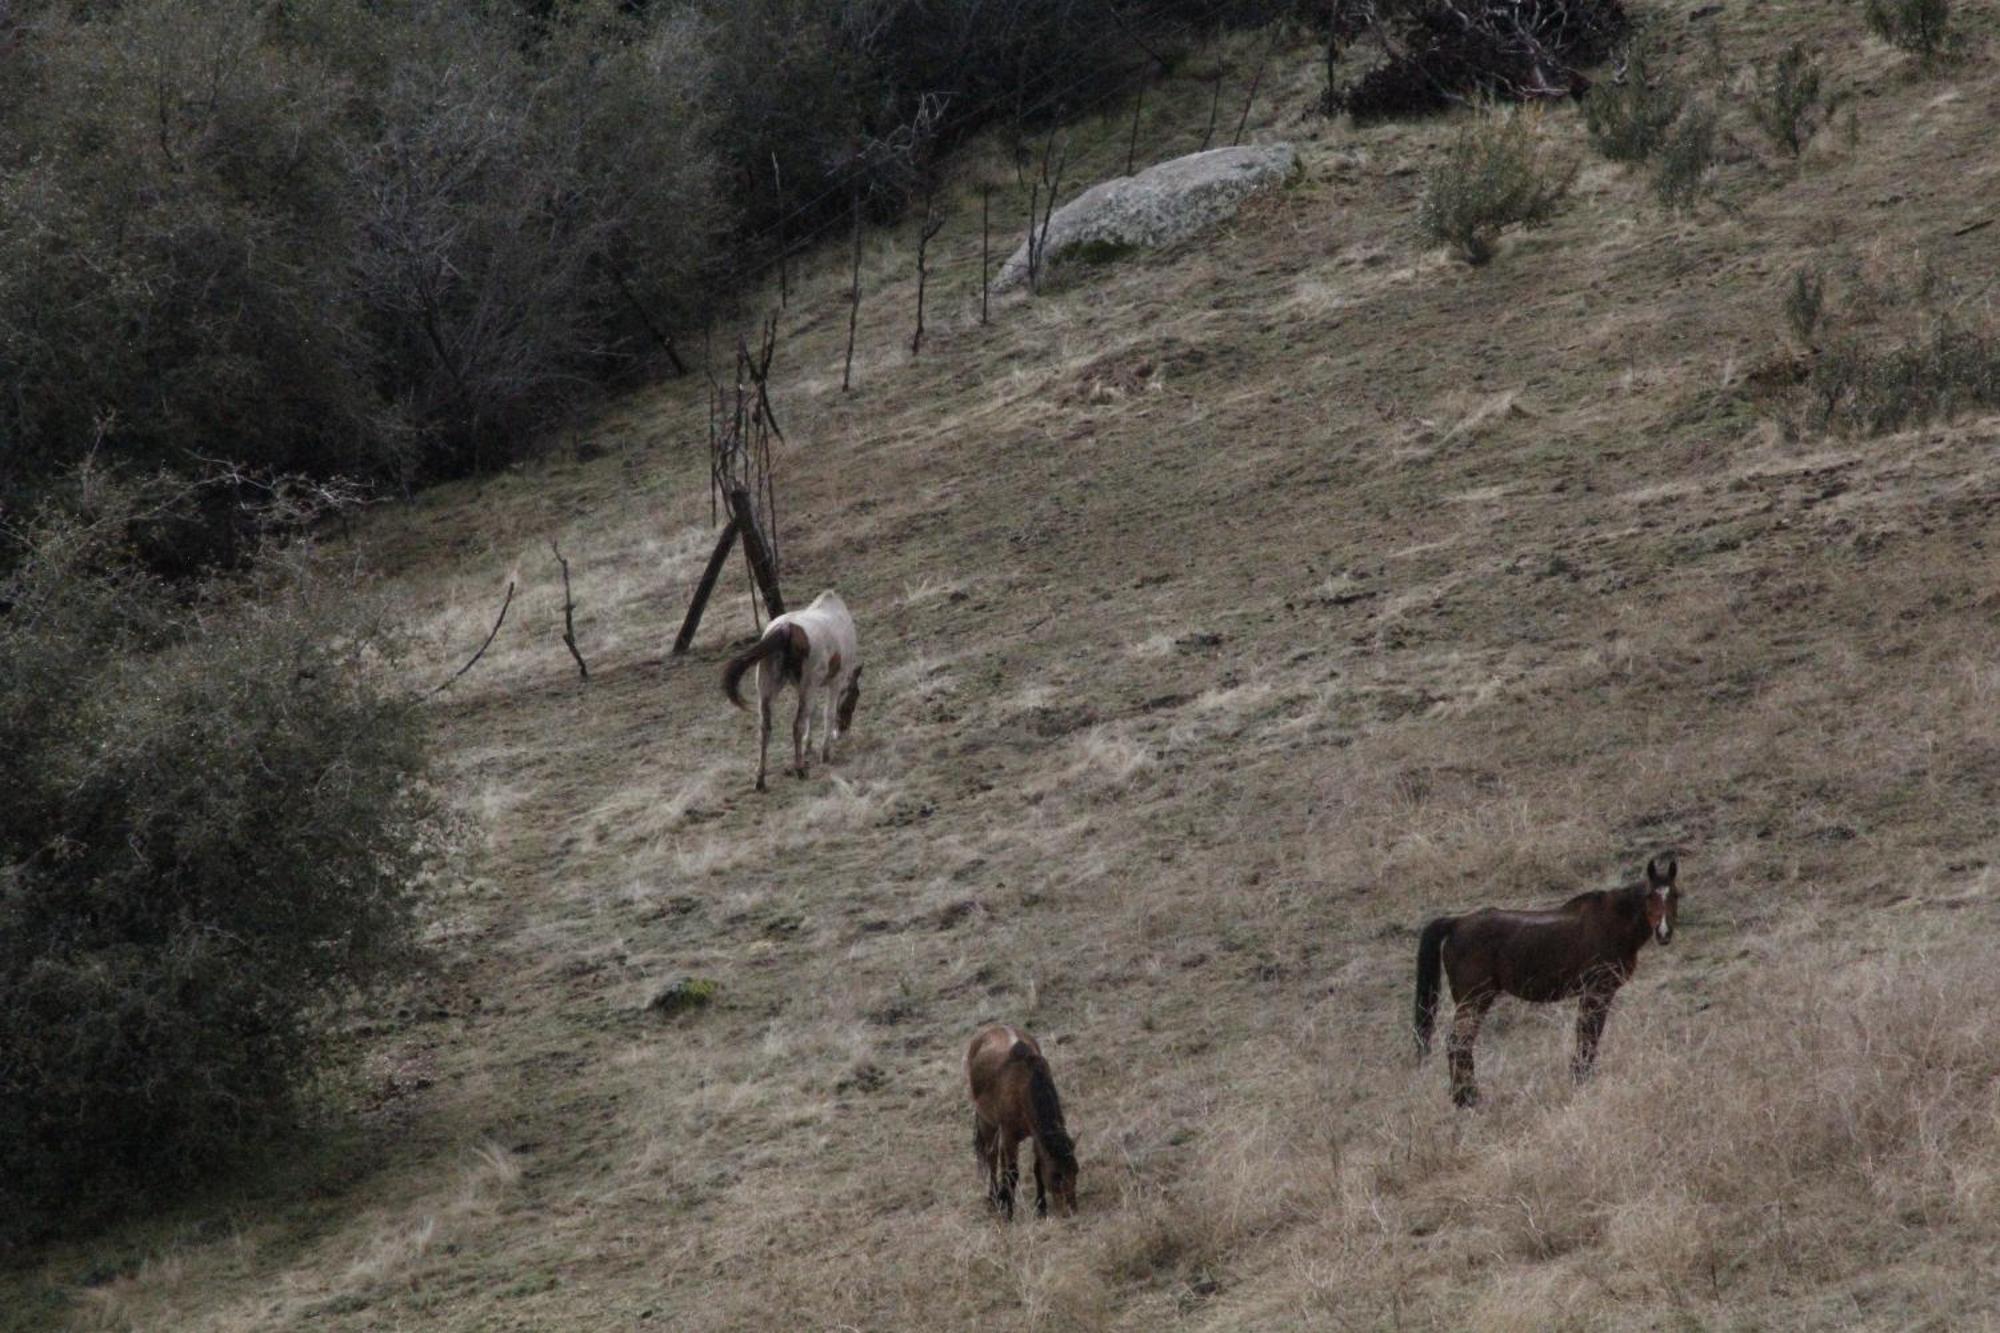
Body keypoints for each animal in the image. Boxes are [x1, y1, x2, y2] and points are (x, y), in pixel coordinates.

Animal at [728, 588, 868, 784]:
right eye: (853, 701)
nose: (843, 730)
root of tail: (785, 629)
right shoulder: (834, 681)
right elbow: (827, 713)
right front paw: (825, 753)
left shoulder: (809, 688)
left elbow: (812, 712)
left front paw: (808, 746)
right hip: (807, 686)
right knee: (796, 725)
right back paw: (799, 769)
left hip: (766, 691)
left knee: (765, 729)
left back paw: (761, 778)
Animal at [964, 1016, 1080, 1216]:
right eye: (1057, 1175)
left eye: (1076, 1170)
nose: (1071, 1211)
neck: (1024, 1085)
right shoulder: (1010, 1136)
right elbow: (1012, 1173)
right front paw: (1008, 1212)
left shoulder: (1035, 1135)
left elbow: (1036, 1166)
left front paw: (1040, 1207)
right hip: (988, 1122)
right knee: (992, 1157)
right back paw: (994, 1197)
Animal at [1416, 852, 1680, 1096]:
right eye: (1650, 896)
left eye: (1675, 895)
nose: (1664, 932)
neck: (1612, 922)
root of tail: (1456, 923)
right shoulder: (1597, 991)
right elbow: (1588, 1034)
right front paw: (1580, 1078)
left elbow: (1589, 1034)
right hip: (1474, 999)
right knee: (1457, 1043)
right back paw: (1467, 1098)